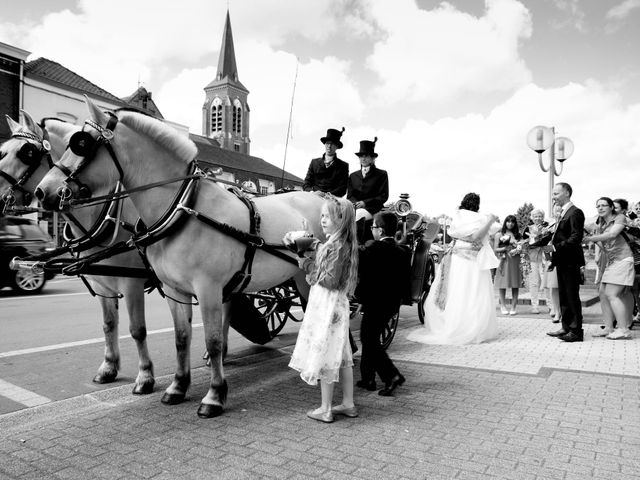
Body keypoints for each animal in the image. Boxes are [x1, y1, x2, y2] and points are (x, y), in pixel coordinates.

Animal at [1, 111, 188, 394]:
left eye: (26, 153)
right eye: (3, 150)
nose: (43, 192)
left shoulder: (131, 283)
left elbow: (137, 329)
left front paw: (145, 376)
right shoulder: (101, 283)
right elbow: (108, 324)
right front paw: (109, 367)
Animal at [35, 96, 324, 416]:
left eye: (81, 144)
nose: (43, 191)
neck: (183, 209)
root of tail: (321, 197)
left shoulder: (205, 288)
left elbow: (209, 339)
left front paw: (214, 395)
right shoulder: (174, 290)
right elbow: (181, 338)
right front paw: (177, 386)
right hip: (294, 276)